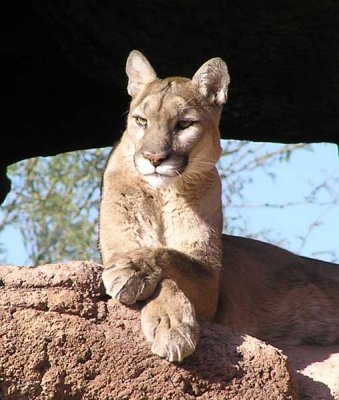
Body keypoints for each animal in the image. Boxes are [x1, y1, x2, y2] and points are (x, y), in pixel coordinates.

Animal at [99, 50, 339, 362]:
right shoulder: (118, 247)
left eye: (184, 124)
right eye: (141, 120)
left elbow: (170, 258)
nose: (154, 158)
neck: (163, 194)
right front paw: (171, 325)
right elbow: (164, 264)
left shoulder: (212, 284)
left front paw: (166, 318)